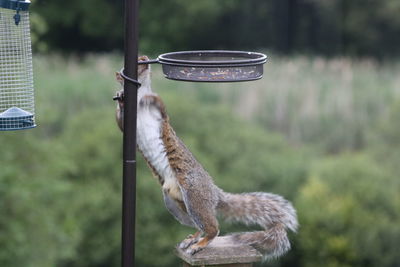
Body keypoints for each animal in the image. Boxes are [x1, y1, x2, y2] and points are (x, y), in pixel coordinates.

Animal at [114, 56, 298, 260]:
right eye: (127, 67)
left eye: (143, 59)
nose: (145, 60)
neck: (139, 95)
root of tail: (214, 192)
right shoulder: (128, 123)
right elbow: (121, 122)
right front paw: (121, 98)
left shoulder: (162, 120)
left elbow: (162, 108)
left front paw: (151, 98)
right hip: (176, 203)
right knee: (200, 226)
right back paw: (193, 238)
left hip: (194, 196)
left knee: (213, 229)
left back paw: (199, 243)